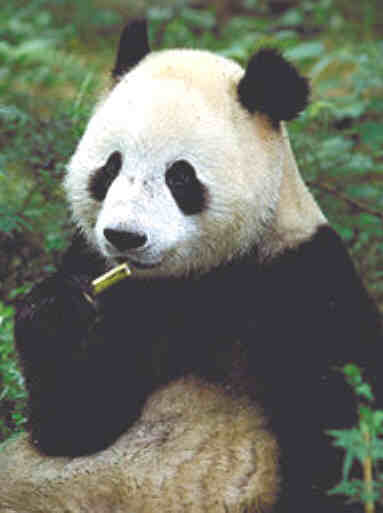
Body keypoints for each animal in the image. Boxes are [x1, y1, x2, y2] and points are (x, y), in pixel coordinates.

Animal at [14, 18, 380, 510]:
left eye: (180, 176)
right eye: (110, 167)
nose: (124, 237)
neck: (204, 275)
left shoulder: (302, 277)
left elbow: (338, 426)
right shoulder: (105, 272)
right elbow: (75, 424)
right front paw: (57, 310)